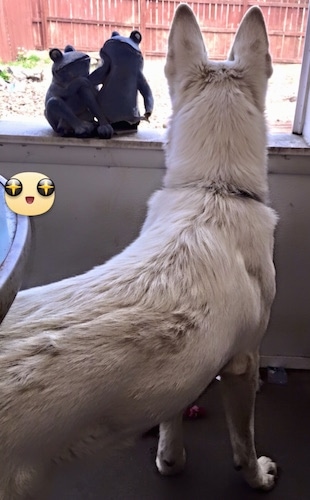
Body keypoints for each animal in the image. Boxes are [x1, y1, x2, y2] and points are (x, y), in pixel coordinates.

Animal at [0, 2, 278, 496]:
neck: (214, 189)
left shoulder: (180, 380)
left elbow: (171, 420)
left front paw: (170, 459)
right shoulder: (244, 364)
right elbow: (243, 442)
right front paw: (258, 476)